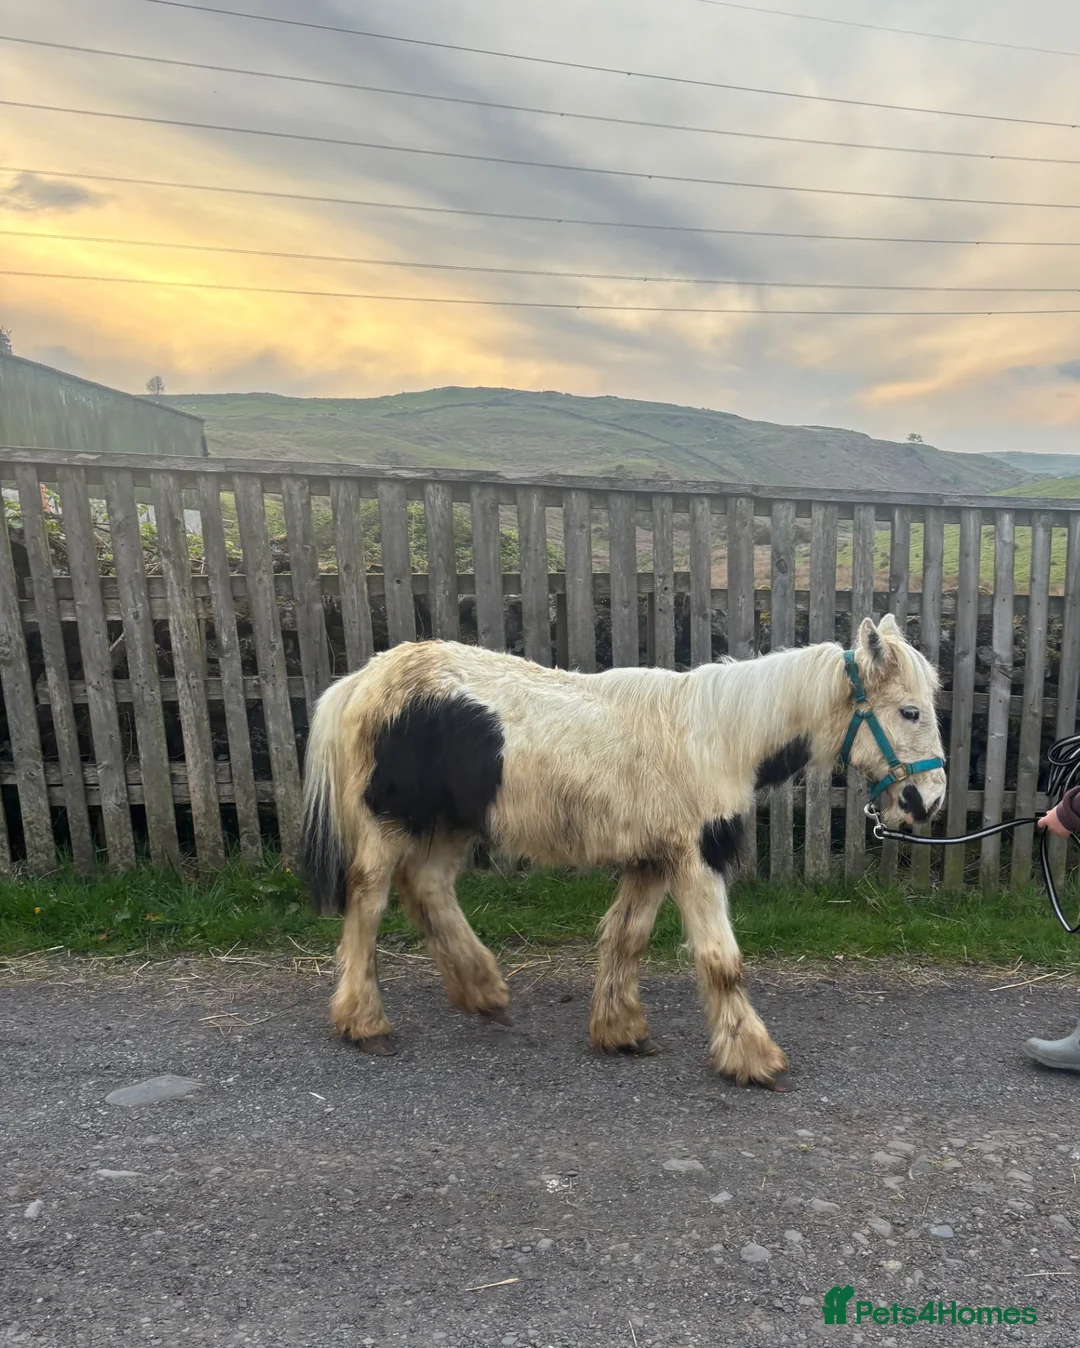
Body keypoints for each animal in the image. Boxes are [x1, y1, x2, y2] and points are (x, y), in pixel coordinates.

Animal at [300, 612, 946, 1087]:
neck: (713, 738)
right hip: (391, 825)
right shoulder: (695, 857)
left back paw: (483, 991)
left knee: (429, 888)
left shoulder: (654, 858)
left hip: (448, 825)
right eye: (909, 711)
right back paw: (364, 1022)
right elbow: (721, 959)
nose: (928, 800)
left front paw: (620, 1031)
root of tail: (364, 679)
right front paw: (753, 1058)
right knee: (368, 901)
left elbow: (626, 937)